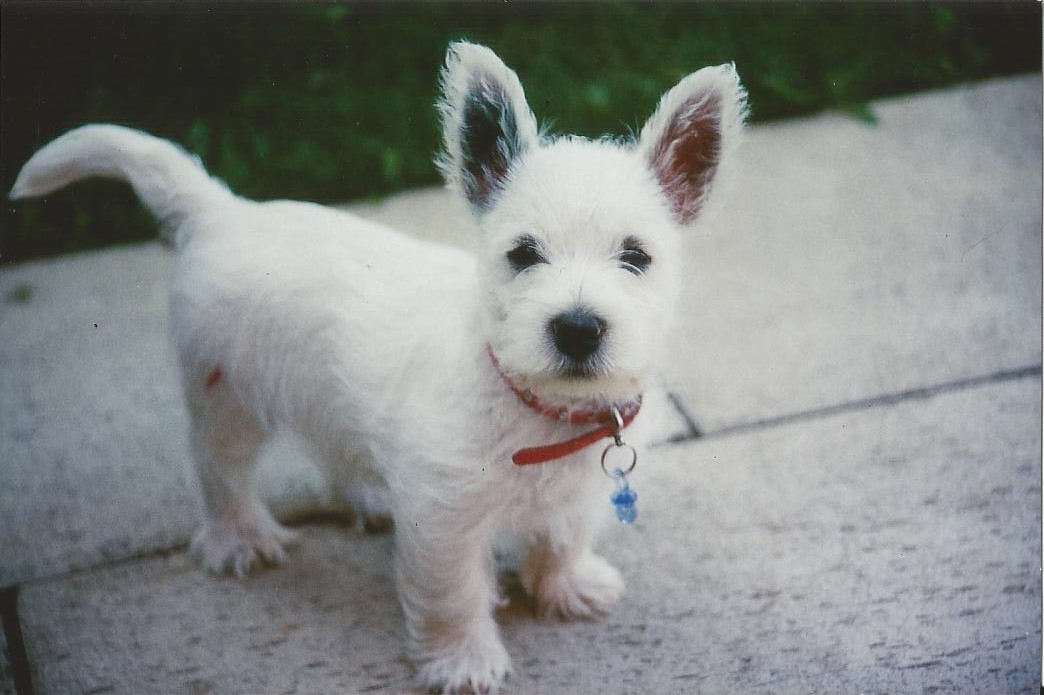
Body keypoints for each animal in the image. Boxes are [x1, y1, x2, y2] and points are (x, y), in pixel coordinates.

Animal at [12, 43, 747, 692]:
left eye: (636, 256)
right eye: (522, 253)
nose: (577, 327)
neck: (536, 407)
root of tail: (224, 211)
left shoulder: (575, 493)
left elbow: (562, 537)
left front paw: (565, 587)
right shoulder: (445, 519)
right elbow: (454, 594)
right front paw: (463, 660)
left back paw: (364, 499)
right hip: (226, 397)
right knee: (218, 469)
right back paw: (240, 537)